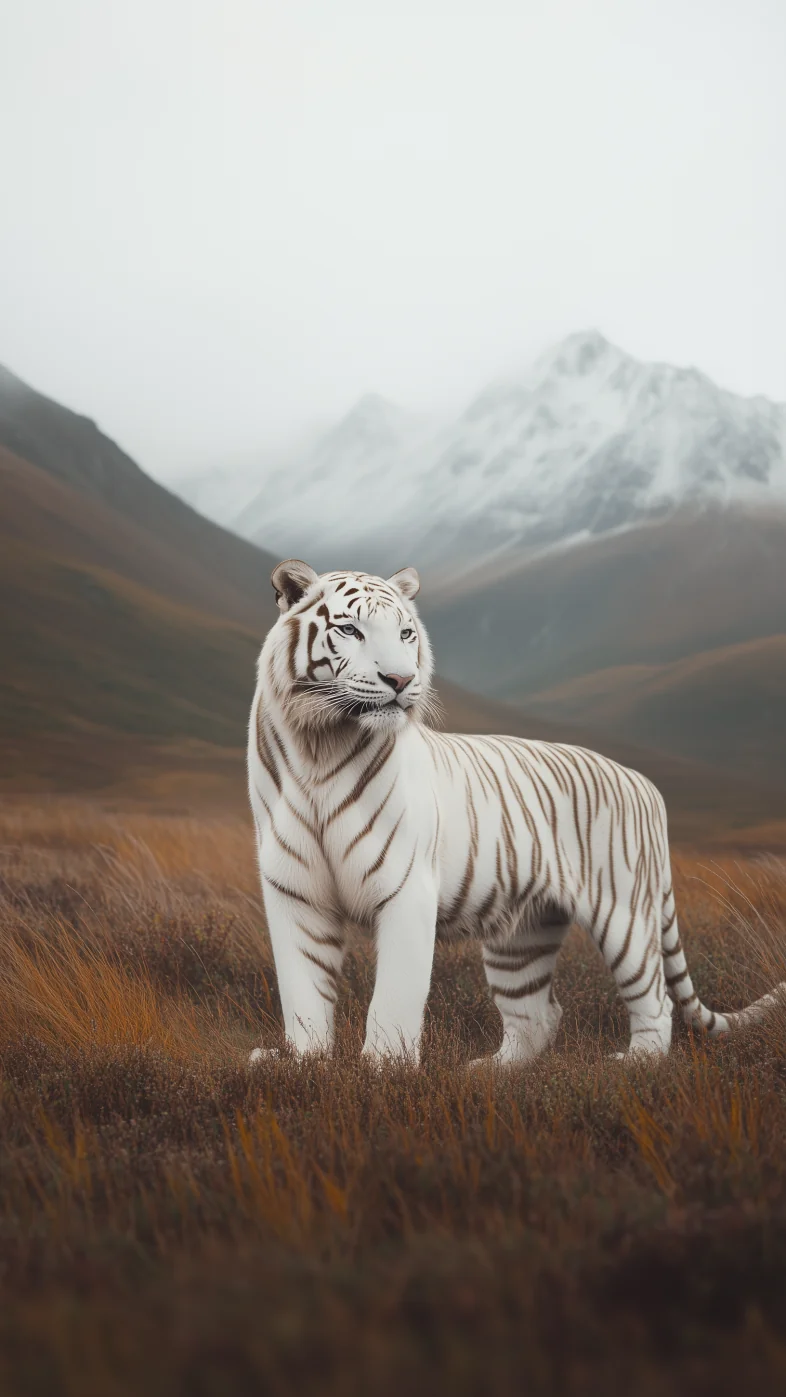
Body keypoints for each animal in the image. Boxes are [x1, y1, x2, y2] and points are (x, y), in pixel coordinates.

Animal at [247, 558, 784, 1067]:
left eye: (405, 633)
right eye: (350, 630)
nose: (401, 680)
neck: (320, 746)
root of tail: (644, 782)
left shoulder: (406, 888)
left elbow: (394, 998)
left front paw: (384, 1071)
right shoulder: (295, 891)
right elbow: (302, 992)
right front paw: (304, 1063)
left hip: (624, 913)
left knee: (654, 997)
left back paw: (635, 1065)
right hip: (521, 934)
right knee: (539, 1014)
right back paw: (492, 1070)